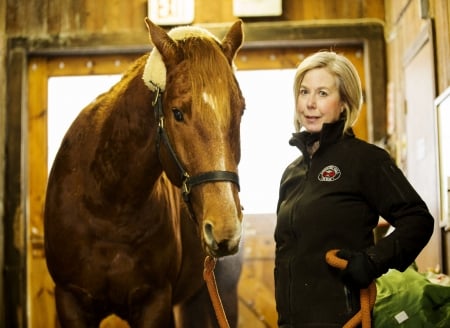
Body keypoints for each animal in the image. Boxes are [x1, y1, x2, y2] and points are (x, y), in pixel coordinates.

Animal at [43, 18, 244, 328]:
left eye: (241, 110)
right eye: (177, 112)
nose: (225, 229)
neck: (108, 206)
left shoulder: (154, 302)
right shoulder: (70, 301)